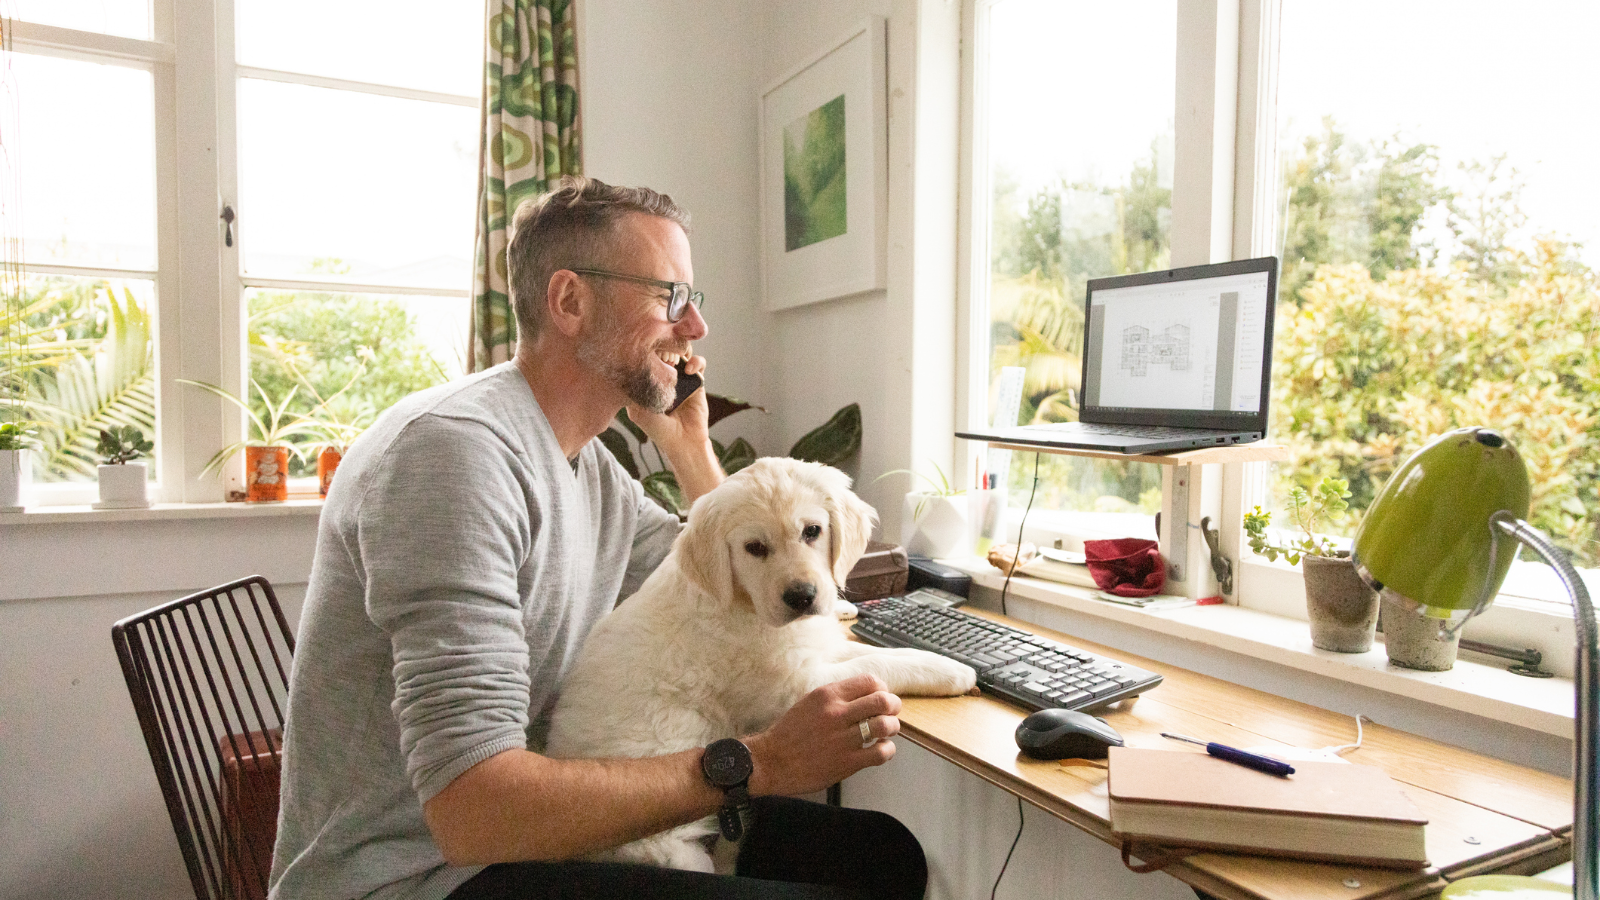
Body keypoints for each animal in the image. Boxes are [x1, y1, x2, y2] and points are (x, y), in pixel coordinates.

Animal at [547, 454, 972, 871]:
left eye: (812, 531)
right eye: (754, 548)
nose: (802, 597)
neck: (743, 602)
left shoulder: (814, 648)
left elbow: (879, 653)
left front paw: (936, 659)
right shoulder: (793, 687)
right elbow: (875, 666)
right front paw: (952, 672)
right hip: (668, 848)